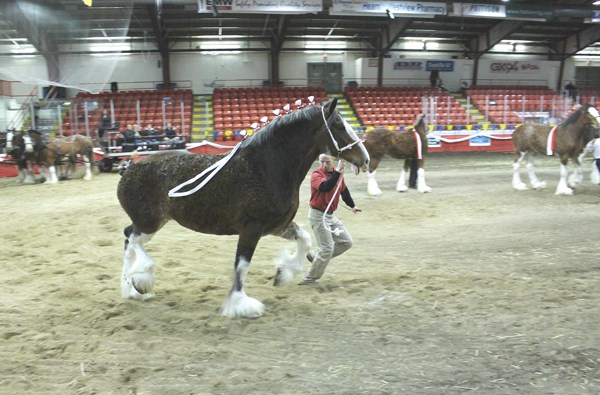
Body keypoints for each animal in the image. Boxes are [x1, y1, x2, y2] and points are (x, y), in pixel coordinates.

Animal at [117, 98, 370, 318]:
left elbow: (305, 239)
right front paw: (240, 305)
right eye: (339, 125)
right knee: (132, 240)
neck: (266, 167)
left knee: (128, 238)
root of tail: (128, 169)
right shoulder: (251, 228)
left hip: (150, 223)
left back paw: (129, 289)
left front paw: (283, 273)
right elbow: (242, 265)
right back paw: (141, 279)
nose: (365, 159)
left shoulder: (277, 226)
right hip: (149, 223)